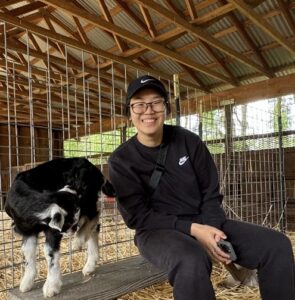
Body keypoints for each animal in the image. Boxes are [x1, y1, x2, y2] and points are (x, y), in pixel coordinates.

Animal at [4, 157, 115, 298]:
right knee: (95, 227)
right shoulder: (27, 230)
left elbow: (50, 253)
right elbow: (28, 253)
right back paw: (90, 264)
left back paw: (78, 242)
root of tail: (94, 168)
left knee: (94, 217)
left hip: (89, 201)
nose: (73, 229)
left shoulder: (52, 230)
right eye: (69, 222)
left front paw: (51, 287)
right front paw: (26, 283)